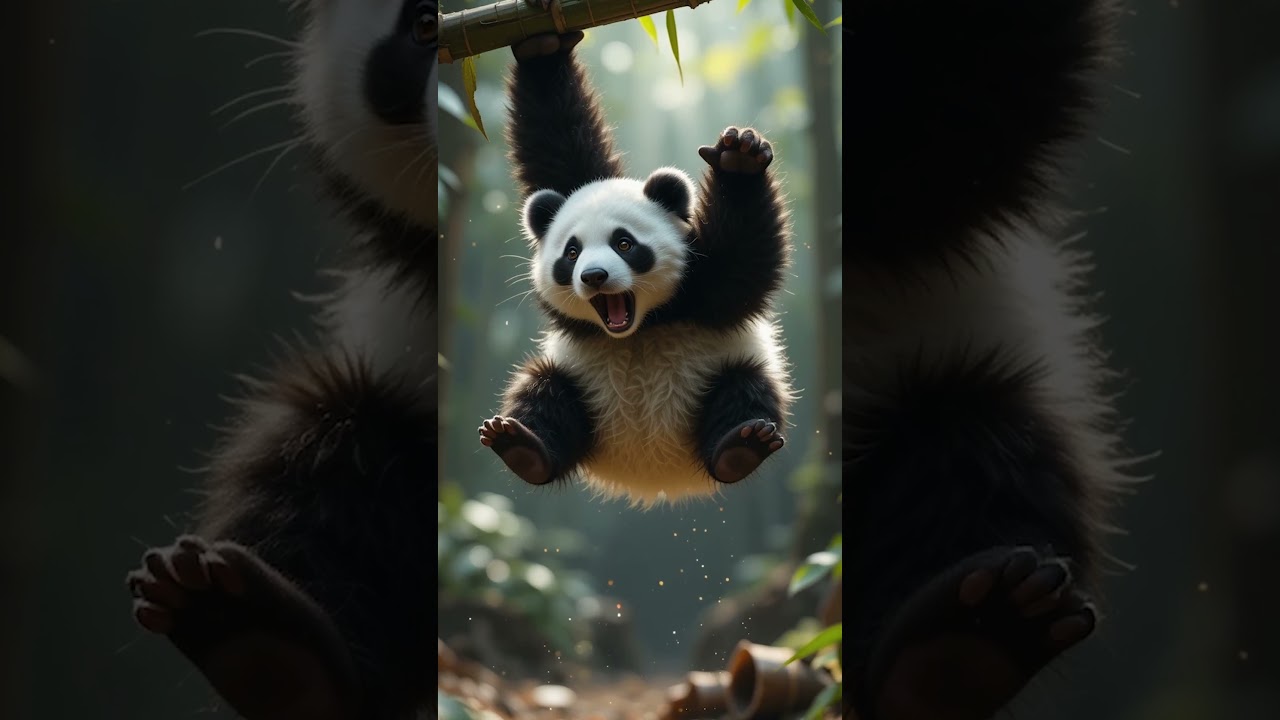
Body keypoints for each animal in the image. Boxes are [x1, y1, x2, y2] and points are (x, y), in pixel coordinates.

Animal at [477, 31, 795, 507]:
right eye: (571, 252)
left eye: (624, 244)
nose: (594, 277)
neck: (642, 327)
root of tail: (650, 471)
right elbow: (557, 148)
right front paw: (540, 48)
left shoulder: (704, 290)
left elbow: (744, 261)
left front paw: (739, 158)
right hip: (580, 384)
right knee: (543, 395)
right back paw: (523, 446)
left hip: (720, 373)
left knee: (747, 390)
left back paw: (740, 447)